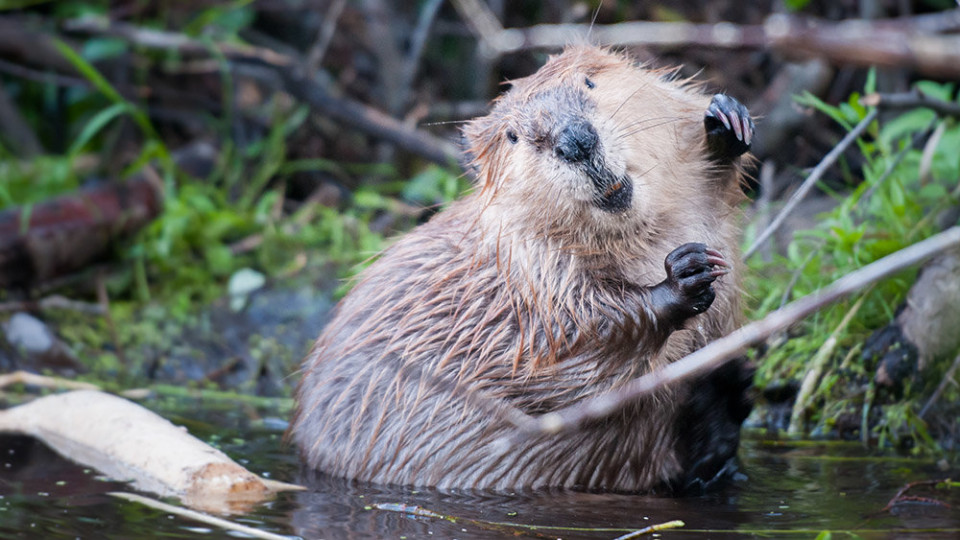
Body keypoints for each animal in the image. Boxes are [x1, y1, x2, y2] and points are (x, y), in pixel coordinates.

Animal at [288, 46, 752, 494]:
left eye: (589, 81)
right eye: (513, 135)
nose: (575, 141)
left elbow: (714, 187)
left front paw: (726, 122)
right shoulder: (530, 275)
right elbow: (574, 355)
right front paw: (684, 275)